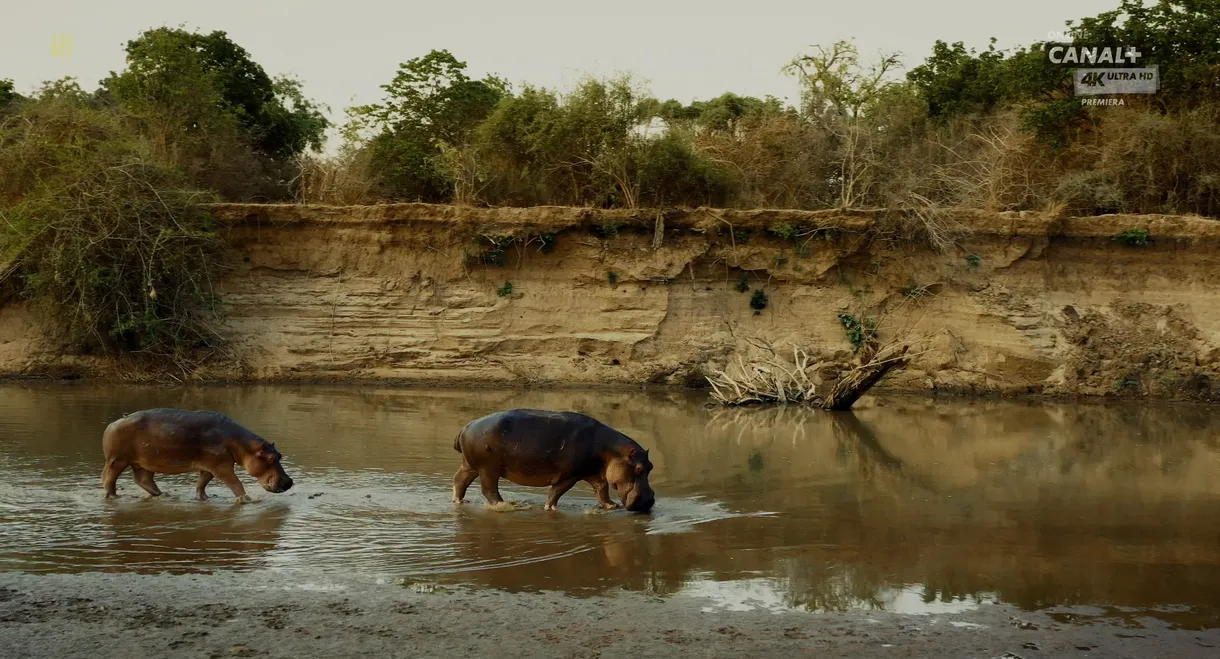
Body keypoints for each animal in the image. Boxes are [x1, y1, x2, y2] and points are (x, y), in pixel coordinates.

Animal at [101, 408, 294, 502]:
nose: (289, 482)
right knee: (109, 479)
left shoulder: (210, 467)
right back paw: (113, 497)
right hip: (117, 460)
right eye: (270, 458)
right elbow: (235, 483)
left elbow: (201, 483)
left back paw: (163, 495)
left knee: (143, 479)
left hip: (144, 462)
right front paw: (247, 499)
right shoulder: (222, 467)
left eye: (280, 455)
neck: (240, 443)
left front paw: (204, 499)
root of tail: (112, 424)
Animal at [452, 409, 656, 513]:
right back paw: (506, 505)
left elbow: (602, 490)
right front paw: (551, 508)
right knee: (489, 490)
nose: (649, 501)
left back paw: (459, 502)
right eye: (638, 469)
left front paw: (611, 506)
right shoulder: (571, 475)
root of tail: (466, 426)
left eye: (650, 467)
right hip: (488, 468)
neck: (611, 449)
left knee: (459, 480)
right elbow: (557, 491)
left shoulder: (593, 473)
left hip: (470, 465)